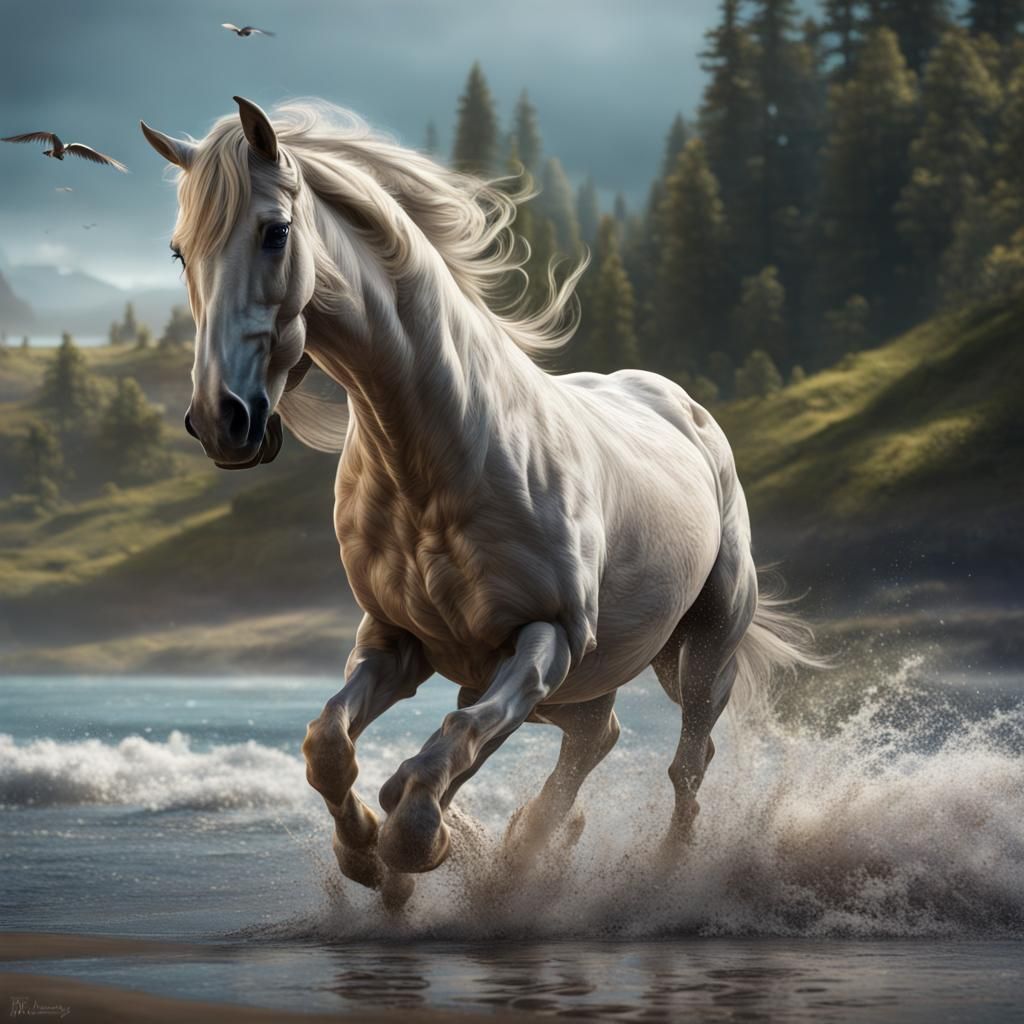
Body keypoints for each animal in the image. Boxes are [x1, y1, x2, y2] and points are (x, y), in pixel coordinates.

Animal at [140, 96, 816, 908]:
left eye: (275, 231)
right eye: (181, 252)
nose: (222, 420)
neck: (438, 459)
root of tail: (682, 405)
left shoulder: (547, 638)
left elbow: (451, 746)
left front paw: (416, 844)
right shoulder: (396, 640)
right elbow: (330, 742)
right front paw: (369, 855)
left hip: (701, 648)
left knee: (687, 759)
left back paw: (661, 871)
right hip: (582, 682)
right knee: (597, 738)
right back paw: (528, 847)